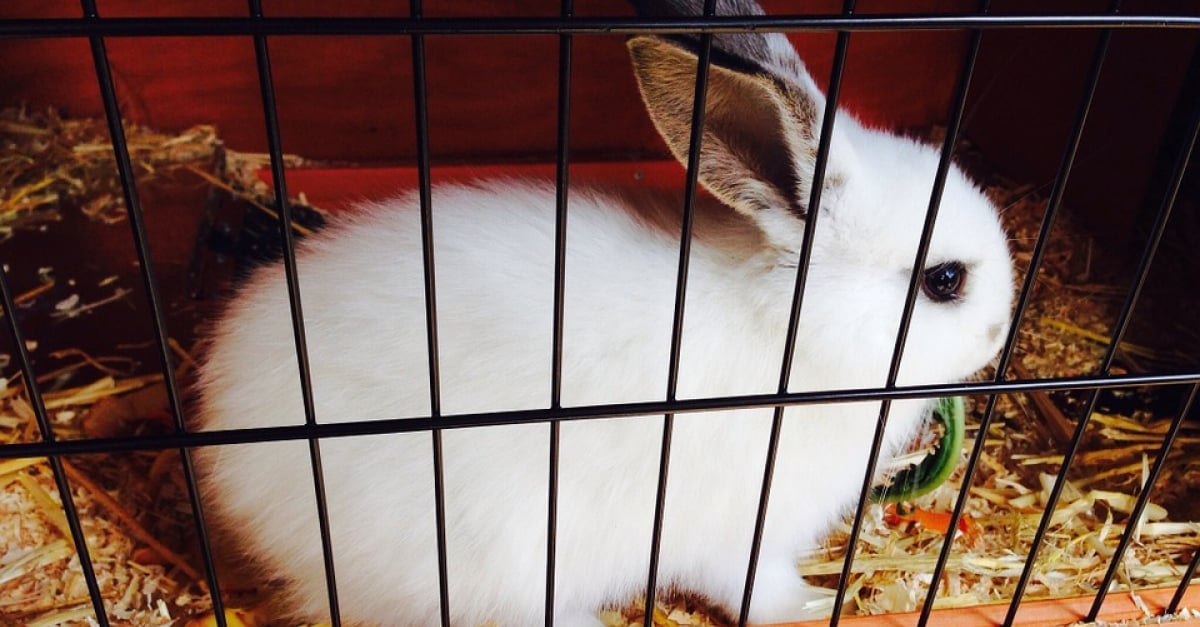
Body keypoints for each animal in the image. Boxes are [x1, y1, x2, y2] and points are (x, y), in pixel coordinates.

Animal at [192, 0, 1014, 625]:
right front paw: (812, 607)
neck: (793, 337)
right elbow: (753, 587)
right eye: (945, 280)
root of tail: (228, 456)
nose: (1000, 330)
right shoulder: (738, 529)